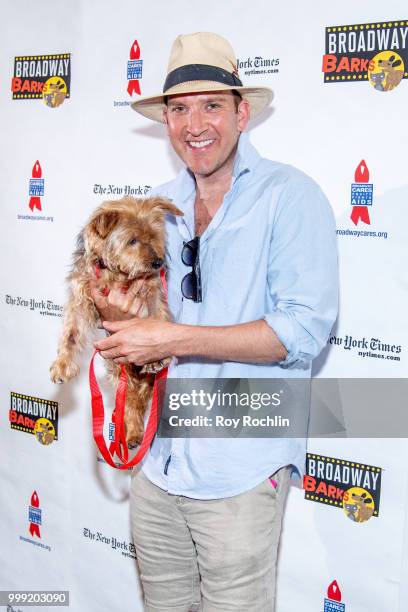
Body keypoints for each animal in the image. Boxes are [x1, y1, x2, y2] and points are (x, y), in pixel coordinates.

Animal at [49, 196, 182, 444]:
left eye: (153, 236)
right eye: (132, 240)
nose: (158, 263)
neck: (116, 273)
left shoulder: (152, 292)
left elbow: (156, 319)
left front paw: (157, 356)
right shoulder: (82, 294)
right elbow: (71, 333)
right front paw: (62, 365)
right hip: (117, 365)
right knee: (129, 398)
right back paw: (132, 432)